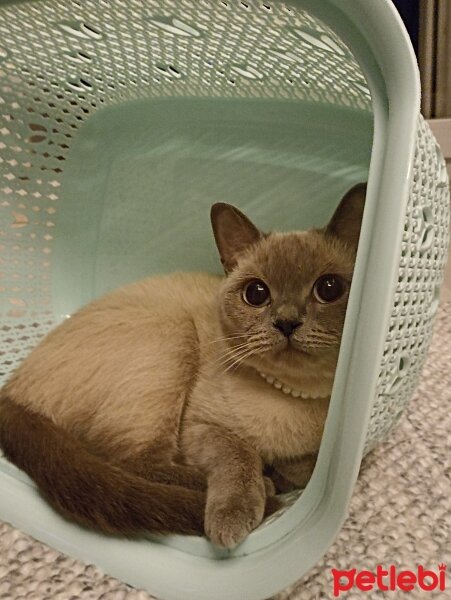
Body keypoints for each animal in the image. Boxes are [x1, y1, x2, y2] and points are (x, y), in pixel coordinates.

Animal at [0, 184, 368, 548]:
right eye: (256, 293)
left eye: (329, 288)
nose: (287, 322)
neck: (290, 396)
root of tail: (10, 391)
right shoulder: (201, 428)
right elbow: (239, 455)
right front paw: (237, 510)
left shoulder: (316, 455)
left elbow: (304, 468)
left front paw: (281, 472)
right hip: (173, 336)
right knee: (132, 463)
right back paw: (263, 488)